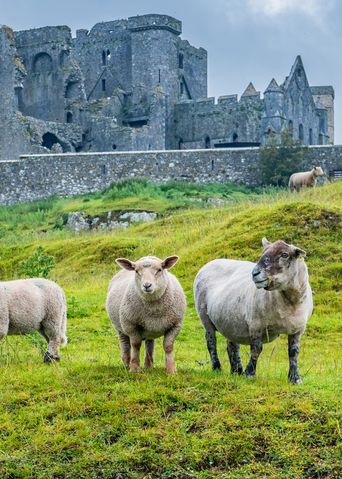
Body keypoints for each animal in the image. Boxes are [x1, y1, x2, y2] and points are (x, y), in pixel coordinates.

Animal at [192, 240, 312, 386]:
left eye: (284, 254)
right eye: (263, 252)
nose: (255, 273)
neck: (289, 303)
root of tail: (211, 262)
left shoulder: (298, 329)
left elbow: (294, 352)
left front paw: (295, 378)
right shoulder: (256, 324)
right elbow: (256, 349)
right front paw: (249, 373)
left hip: (229, 321)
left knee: (232, 346)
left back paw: (236, 371)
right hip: (205, 317)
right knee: (211, 343)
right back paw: (217, 368)